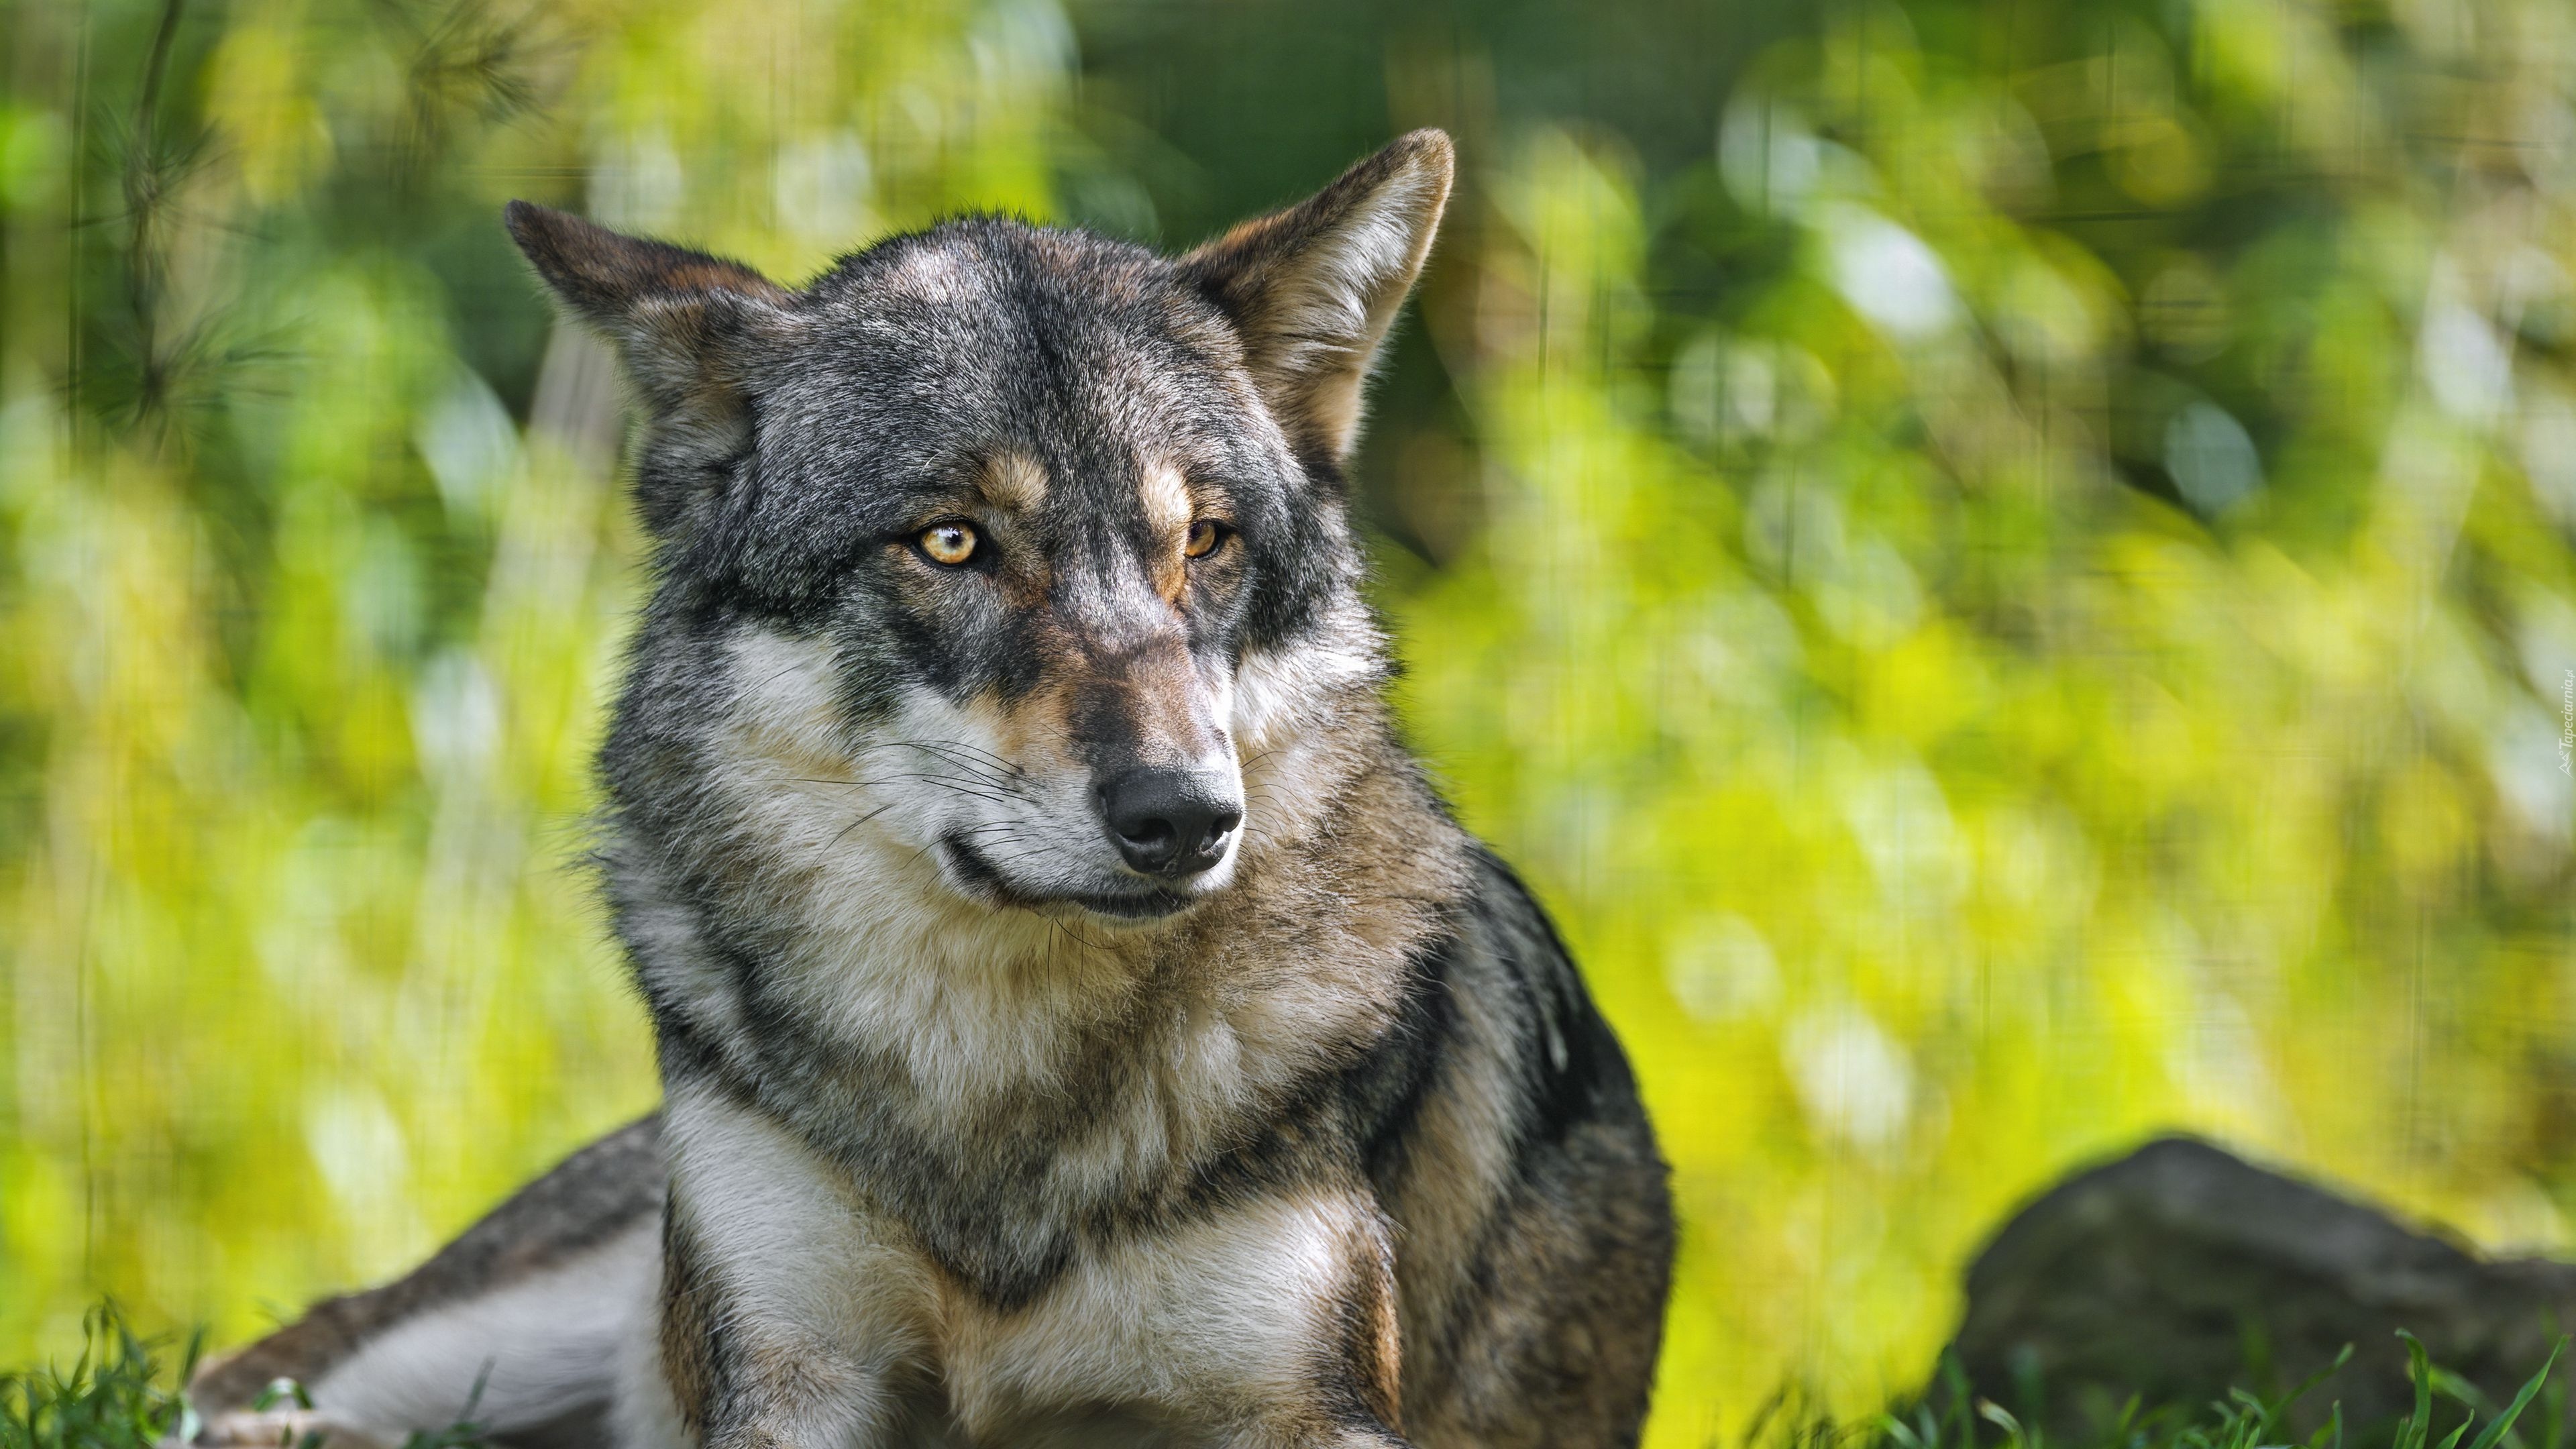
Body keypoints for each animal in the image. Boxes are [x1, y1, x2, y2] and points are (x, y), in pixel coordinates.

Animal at [186, 132, 1669, 1444]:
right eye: (951, 543)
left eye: (1204, 542)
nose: (1186, 817)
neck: (997, 1109)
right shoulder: (783, 1373)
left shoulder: (1312, 1404)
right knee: (252, 1362)